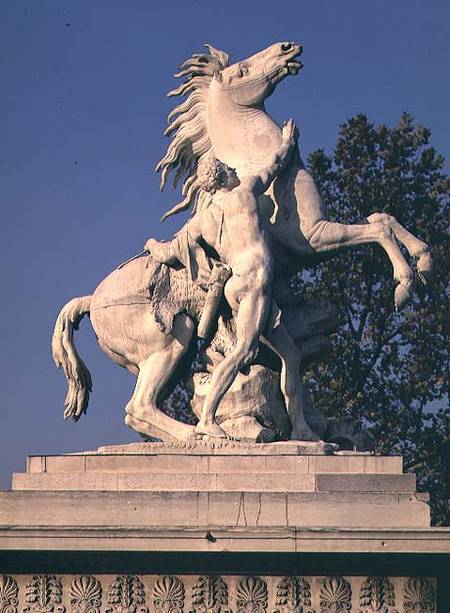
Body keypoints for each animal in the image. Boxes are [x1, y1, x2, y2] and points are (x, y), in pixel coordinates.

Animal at [158, 41, 432, 310]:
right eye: (243, 70)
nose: (287, 47)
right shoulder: (311, 239)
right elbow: (378, 230)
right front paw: (404, 286)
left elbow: (381, 217)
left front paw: (424, 260)